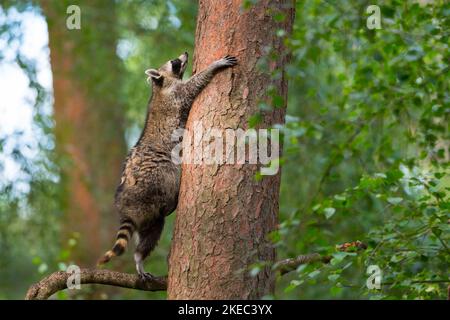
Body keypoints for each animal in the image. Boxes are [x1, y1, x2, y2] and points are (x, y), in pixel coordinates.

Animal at [98, 51, 239, 278]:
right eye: (174, 62)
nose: (186, 53)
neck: (159, 86)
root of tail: (125, 205)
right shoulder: (177, 95)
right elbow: (194, 84)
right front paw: (214, 66)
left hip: (148, 215)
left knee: (151, 233)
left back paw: (139, 256)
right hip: (158, 177)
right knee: (169, 183)